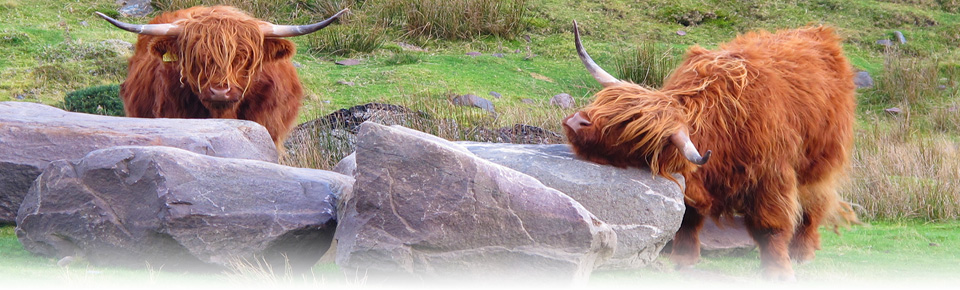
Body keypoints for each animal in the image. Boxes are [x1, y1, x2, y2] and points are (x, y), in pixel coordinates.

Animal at [560, 22, 860, 280]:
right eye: (608, 102)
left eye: (628, 128)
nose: (576, 123)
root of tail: (818, 32)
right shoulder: (692, 178)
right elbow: (688, 216)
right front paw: (683, 259)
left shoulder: (771, 177)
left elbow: (770, 227)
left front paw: (778, 272)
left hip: (822, 160)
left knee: (815, 202)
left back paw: (802, 252)